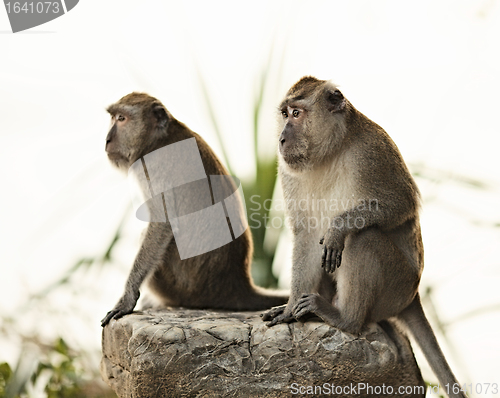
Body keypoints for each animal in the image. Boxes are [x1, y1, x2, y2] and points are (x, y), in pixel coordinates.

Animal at [101, 92, 288, 326]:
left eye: (121, 118)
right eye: (112, 117)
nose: (107, 140)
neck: (159, 138)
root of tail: (238, 285)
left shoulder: (154, 167)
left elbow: (162, 224)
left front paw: (127, 297)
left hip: (185, 288)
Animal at [264, 76, 466, 396]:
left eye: (297, 113)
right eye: (284, 114)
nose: (282, 139)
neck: (330, 153)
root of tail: (413, 295)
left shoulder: (372, 152)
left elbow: (402, 204)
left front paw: (338, 227)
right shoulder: (288, 172)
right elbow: (307, 235)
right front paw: (289, 308)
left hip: (396, 287)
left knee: (363, 238)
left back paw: (347, 319)